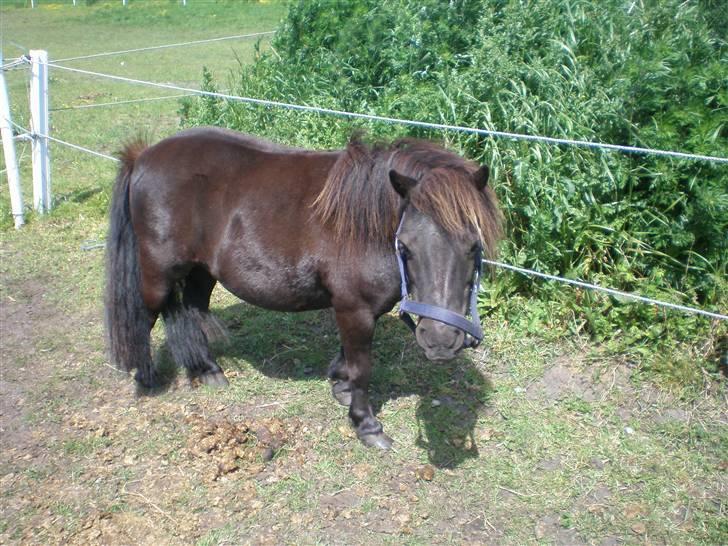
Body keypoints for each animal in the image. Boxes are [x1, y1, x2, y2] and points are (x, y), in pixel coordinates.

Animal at [104, 127, 502, 449]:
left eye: (473, 245)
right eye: (405, 246)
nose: (440, 341)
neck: (366, 224)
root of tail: (143, 156)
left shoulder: (357, 308)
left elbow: (347, 357)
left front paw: (340, 385)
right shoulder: (354, 308)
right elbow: (362, 366)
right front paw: (367, 425)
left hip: (202, 270)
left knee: (191, 309)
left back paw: (208, 370)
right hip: (159, 273)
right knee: (146, 315)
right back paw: (145, 377)